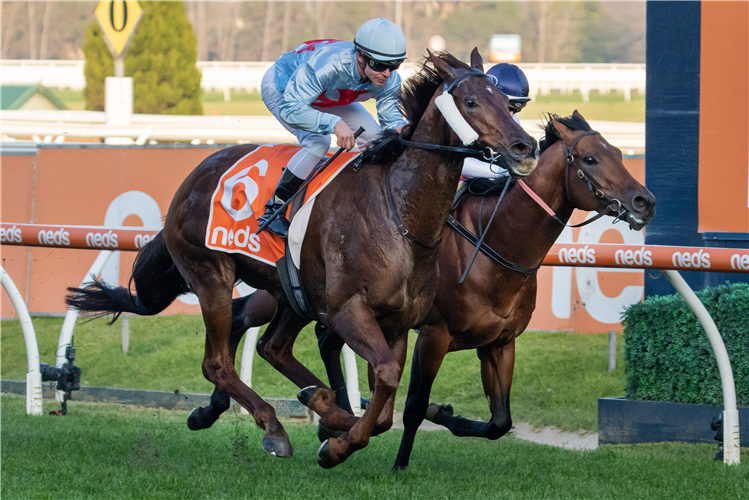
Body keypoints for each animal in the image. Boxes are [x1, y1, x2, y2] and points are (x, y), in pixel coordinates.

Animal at [62, 48, 532, 466]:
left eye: (504, 101)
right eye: (471, 101)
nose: (524, 146)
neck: (399, 215)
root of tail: (194, 177)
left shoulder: (399, 325)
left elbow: (385, 404)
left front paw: (336, 428)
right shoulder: (348, 311)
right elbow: (384, 379)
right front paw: (337, 446)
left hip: (291, 291)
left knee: (273, 347)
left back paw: (319, 404)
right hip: (211, 275)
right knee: (217, 362)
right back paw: (275, 427)